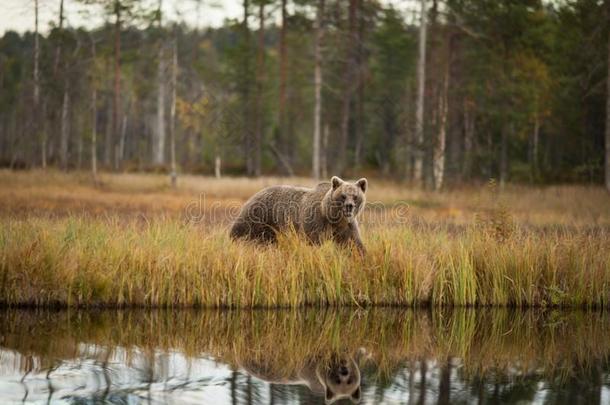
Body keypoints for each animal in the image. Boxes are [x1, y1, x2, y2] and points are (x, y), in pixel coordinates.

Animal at [228, 176, 366, 252]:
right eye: (343, 196)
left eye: (355, 196)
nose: (349, 206)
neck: (331, 217)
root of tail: (254, 195)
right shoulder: (315, 222)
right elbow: (313, 242)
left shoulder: (346, 226)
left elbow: (354, 243)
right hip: (259, 217)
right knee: (242, 232)